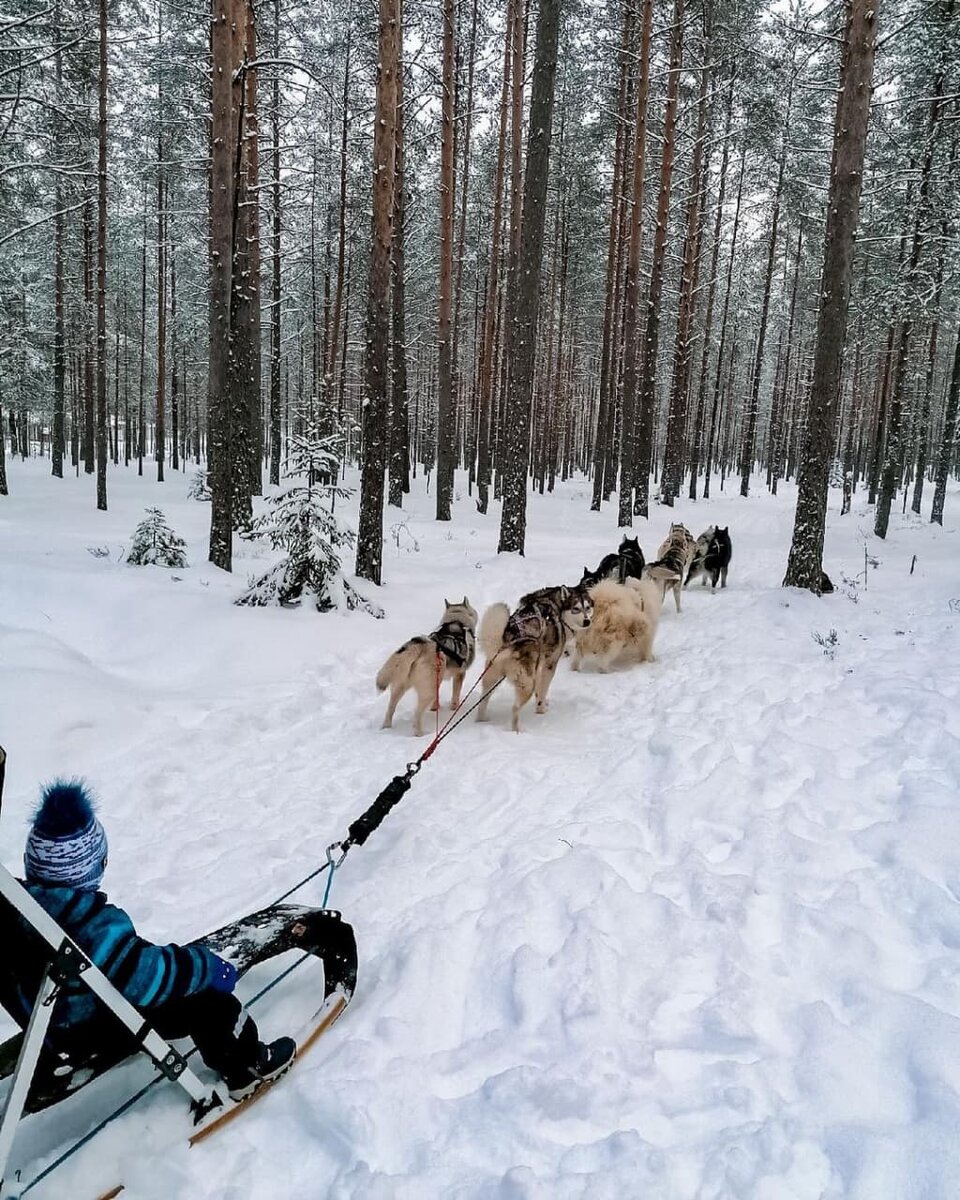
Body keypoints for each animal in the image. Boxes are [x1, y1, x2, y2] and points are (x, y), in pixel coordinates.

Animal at [376, 597, 477, 734]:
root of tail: (421, 647)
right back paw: (420, 734)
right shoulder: (459, 674)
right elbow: (455, 696)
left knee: (390, 708)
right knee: (417, 715)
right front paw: (454, 708)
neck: (456, 621)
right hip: (428, 690)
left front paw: (435, 708)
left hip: (400, 686)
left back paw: (386, 727)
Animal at [475, 583, 592, 729]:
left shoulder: (539, 666)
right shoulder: (549, 665)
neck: (556, 605)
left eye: (588, 607)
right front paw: (541, 709)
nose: (587, 621)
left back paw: (482, 719)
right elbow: (543, 690)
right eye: (575, 609)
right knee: (515, 708)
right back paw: (517, 730)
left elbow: (539, 689)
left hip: (492, 680)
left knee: (482, 702)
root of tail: (508, 641)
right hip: (527, 685)